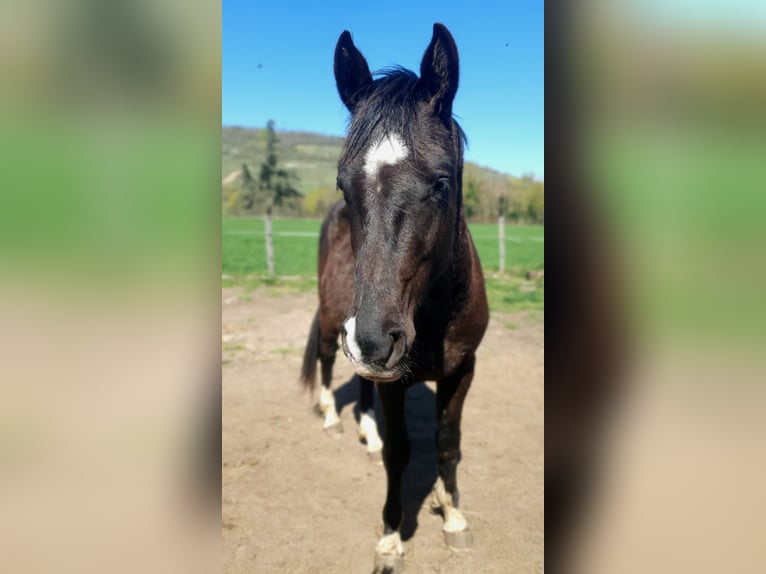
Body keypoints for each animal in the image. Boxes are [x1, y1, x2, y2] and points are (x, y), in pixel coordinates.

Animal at [300, 23, 488, 573]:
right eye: (343, 184)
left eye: (442, 183)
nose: (373, 339)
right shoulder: (393, 380)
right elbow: (400, 454)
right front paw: (390, 537)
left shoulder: (462, 370)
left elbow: (447, 444)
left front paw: (452, 515)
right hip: (333, 322)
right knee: (327, 360)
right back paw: (331, 418)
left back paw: (367, 430)